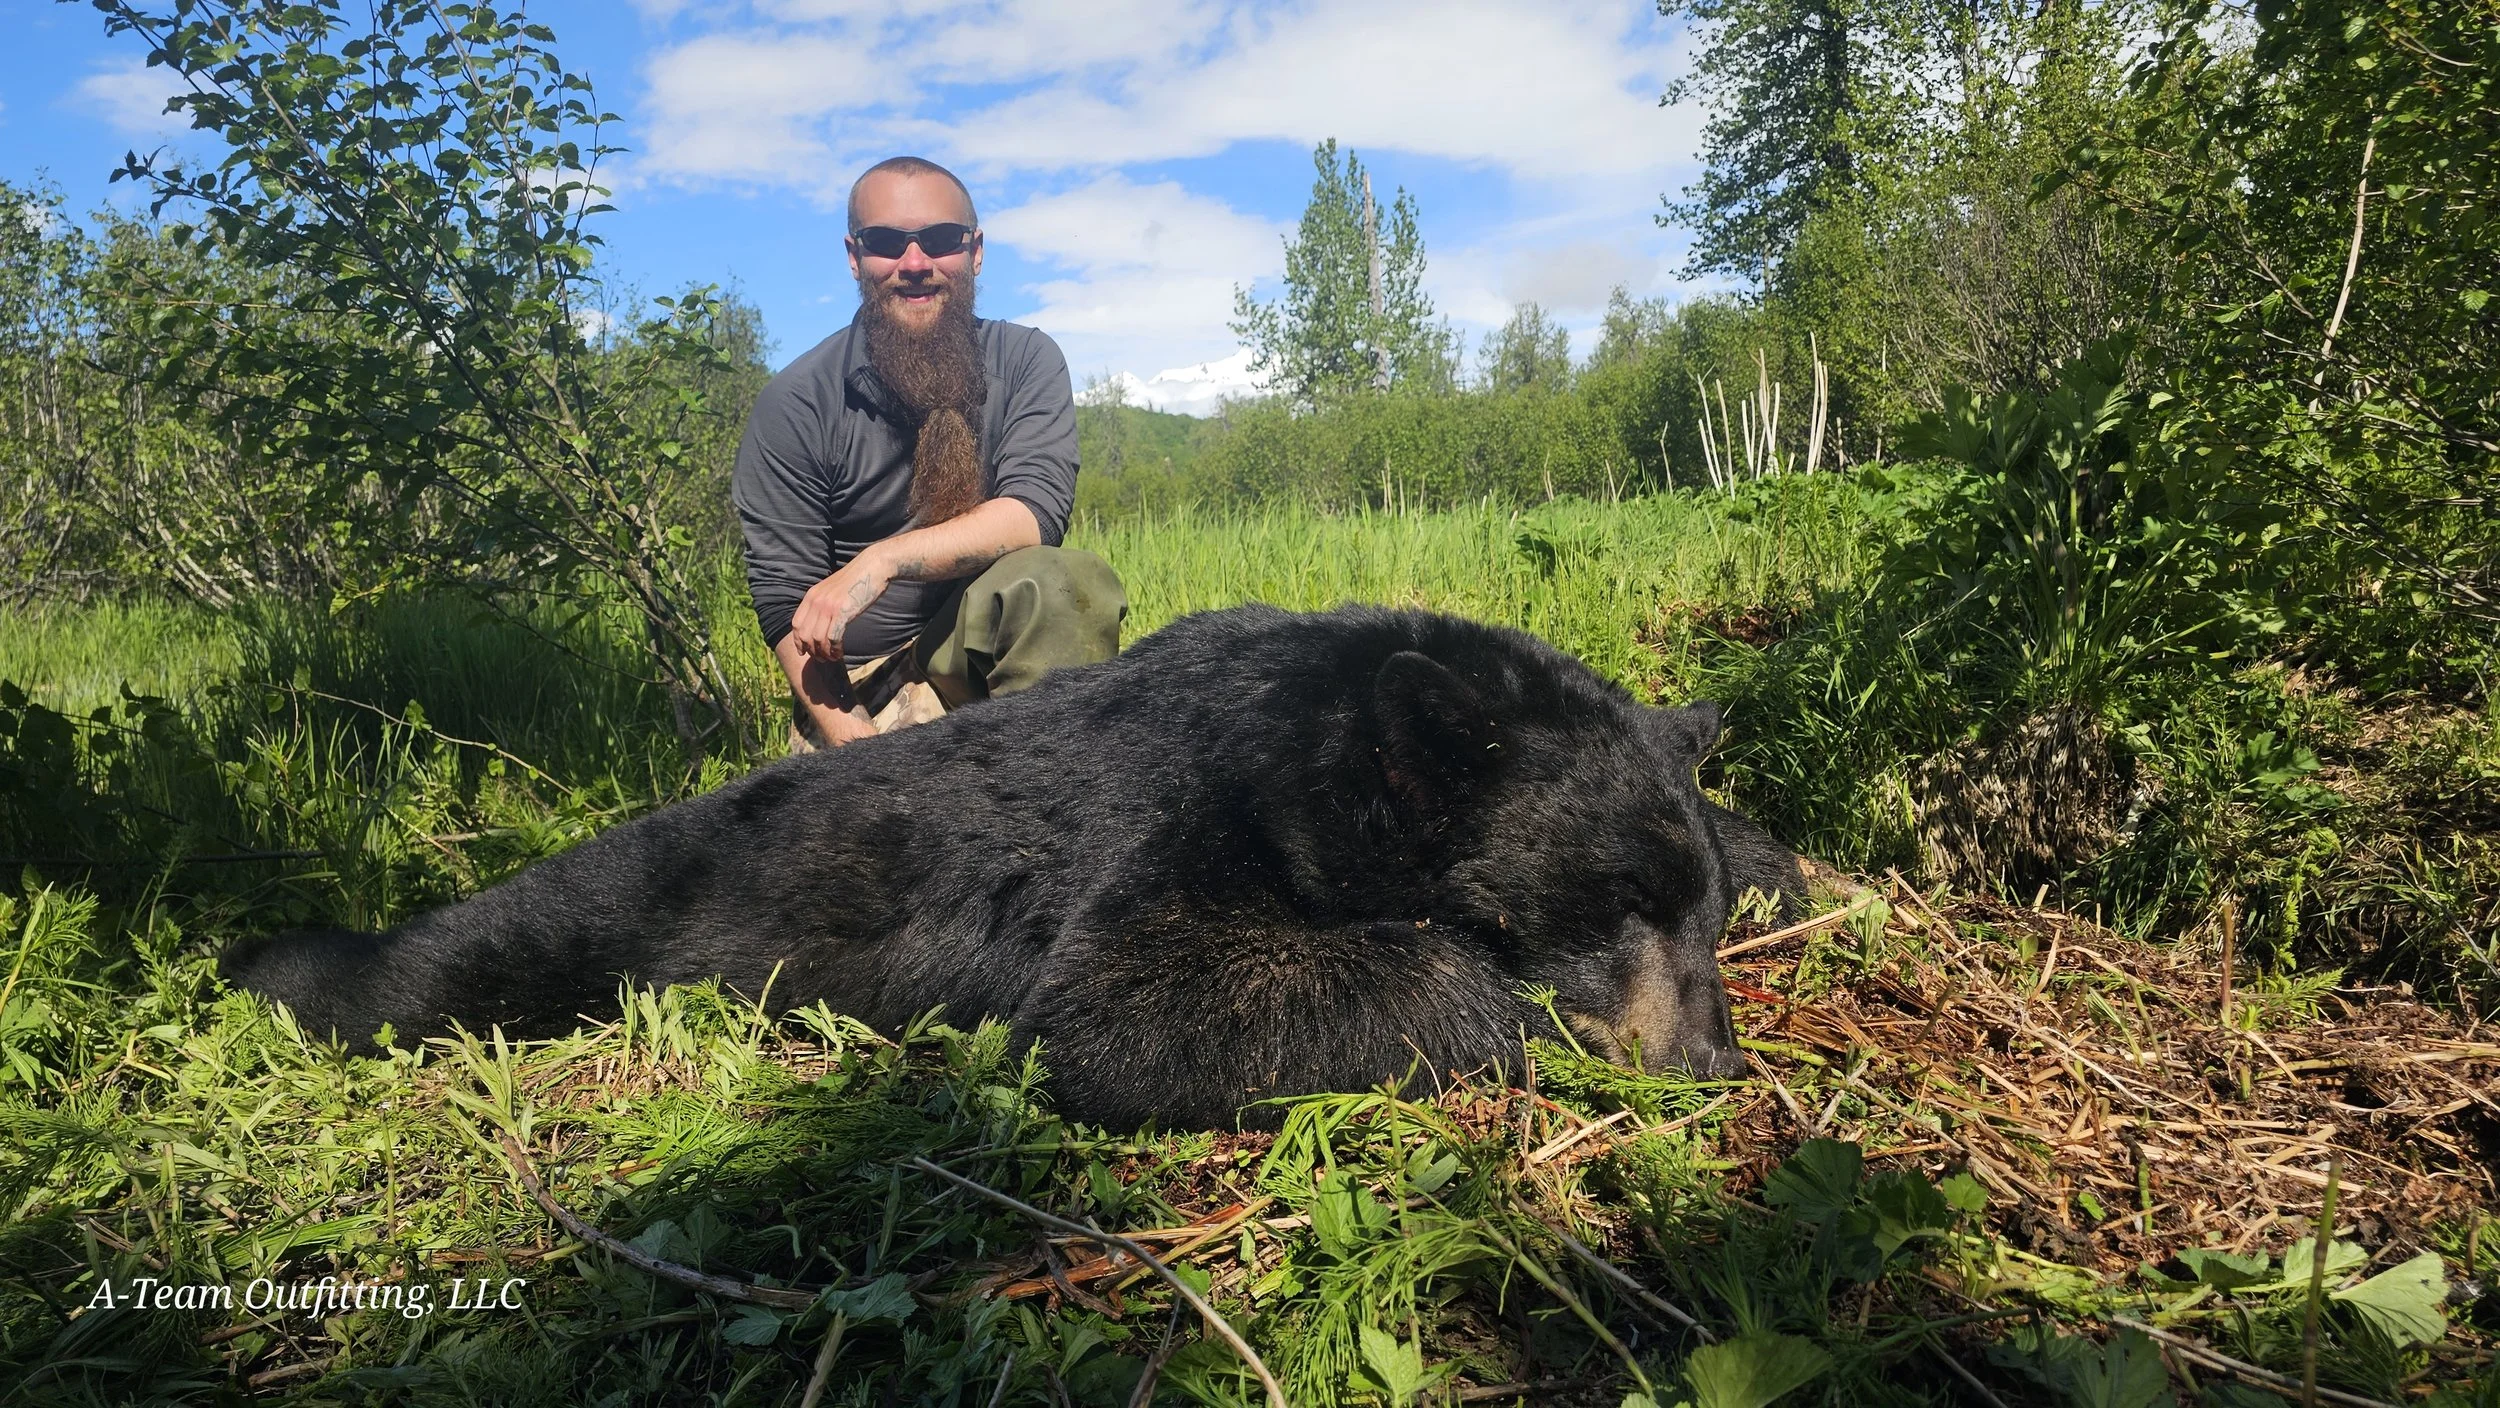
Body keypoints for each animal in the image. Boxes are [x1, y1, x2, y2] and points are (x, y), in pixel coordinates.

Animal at [224, 604, 1794, 1129]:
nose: (1714, 1062)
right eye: (1611, 903)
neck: (1324, 742)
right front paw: (1509, 1008)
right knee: (440, 959)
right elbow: (1131, 1011)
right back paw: (272, 958)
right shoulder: (1191, 807)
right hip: (602, 903)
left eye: (1697, 913)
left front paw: (1794, 865)